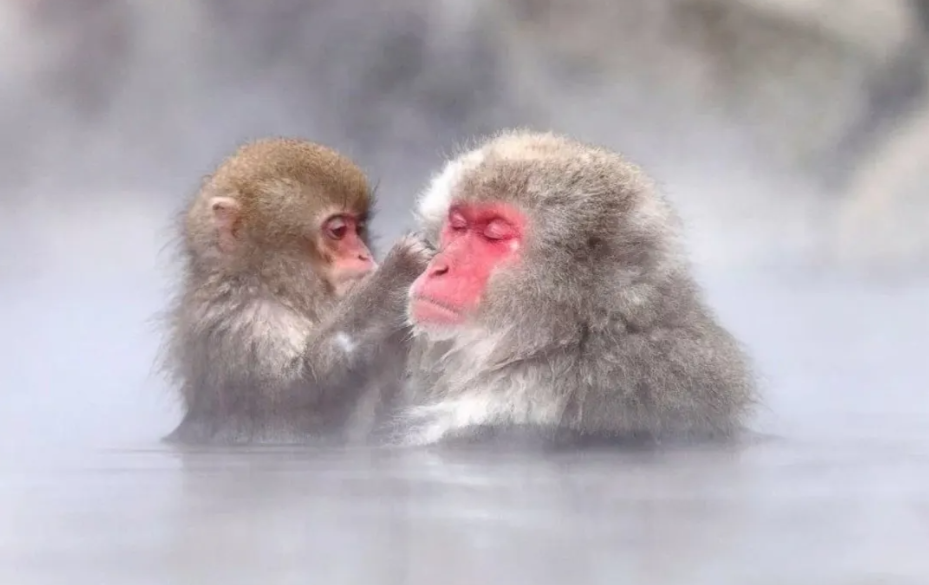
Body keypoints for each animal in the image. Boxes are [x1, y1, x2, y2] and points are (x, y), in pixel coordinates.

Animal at [160, 137, 432, 446]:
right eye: (339, 230)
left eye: (359, 228)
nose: (364, 255)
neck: (273, 287)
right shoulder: (245, 322)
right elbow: (303, 393)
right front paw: (396, 274)